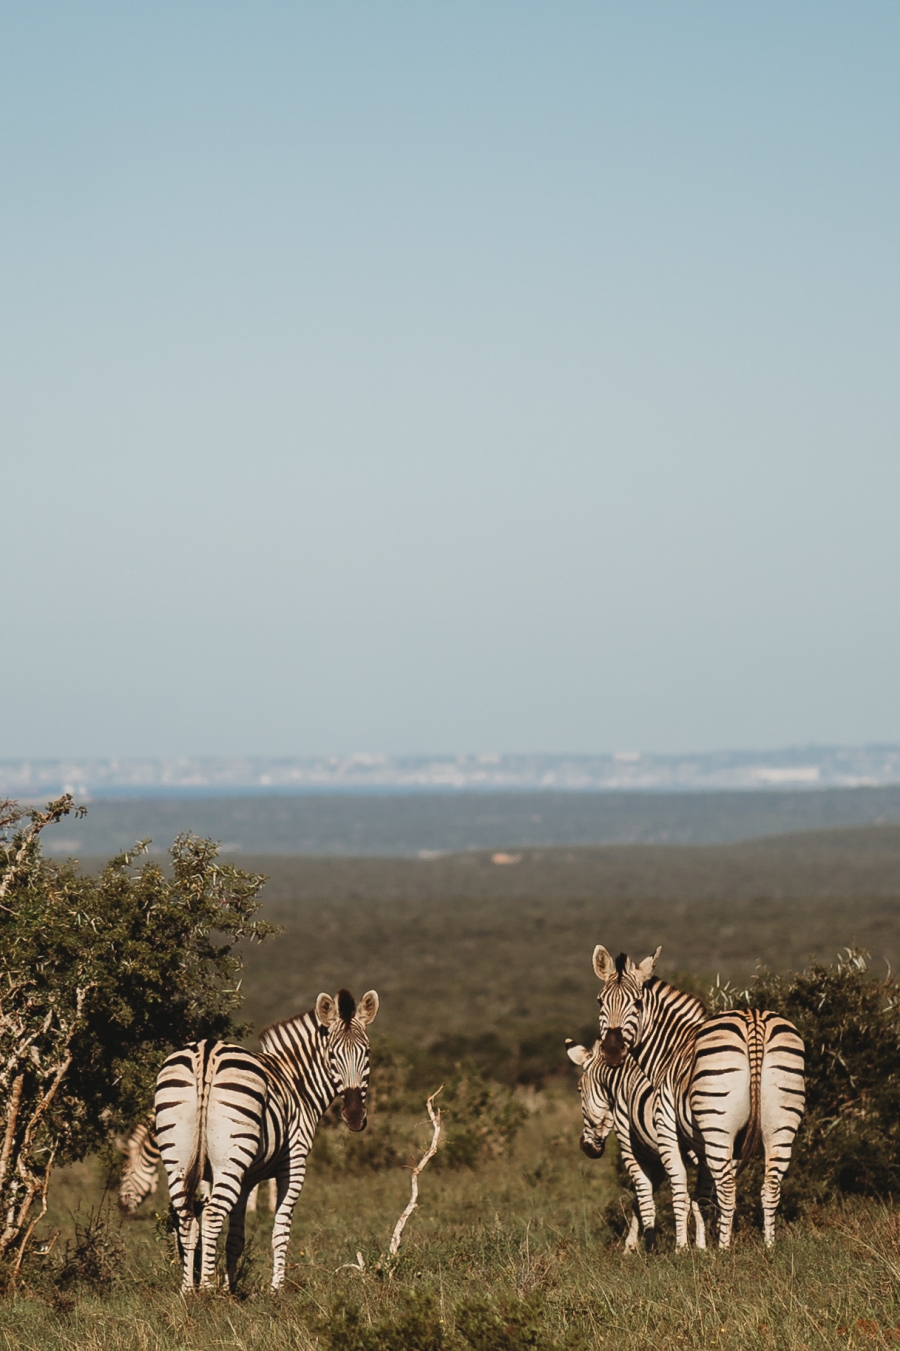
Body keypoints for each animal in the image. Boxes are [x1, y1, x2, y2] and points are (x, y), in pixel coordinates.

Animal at [154, 988, 375, 1291]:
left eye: (367, 1052)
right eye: (332, 1055)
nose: (354, 1116)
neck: (297, 1082)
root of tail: (206, 1050)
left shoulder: (247, 1179)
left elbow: (236, 1238)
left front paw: (230, 1289)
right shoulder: (293, 1163)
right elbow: (281, 1228)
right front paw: (276, 1289)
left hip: (178, 1157)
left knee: (187, 1217)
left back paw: (188, 1290)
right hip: (230, 1161)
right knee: (211, 1216)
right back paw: (207, 1291)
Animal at [567, 1032, 708, 1253]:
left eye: (579, 1089)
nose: (585, 1147)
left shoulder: (632, 1152)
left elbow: (645, 1202)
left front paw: (646, 1248)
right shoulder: (655, 1159)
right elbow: (638, 1201)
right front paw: (631, 1247)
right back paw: (703, 1247)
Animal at [591, 945, 800, 1248]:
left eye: (638, 1004)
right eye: (600, 1002)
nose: (612, 1052)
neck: (670, 1050)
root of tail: (753, 1021)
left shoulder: (666, 1126)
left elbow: (680, 1191)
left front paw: (683, 1248)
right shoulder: (705, 1145)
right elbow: (702, 1197)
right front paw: (702, 1247)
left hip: (718, 1123)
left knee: (727, 1188)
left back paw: (725, 1250)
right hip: (781, 1122)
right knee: (770, 1186)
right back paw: (768, 1246)